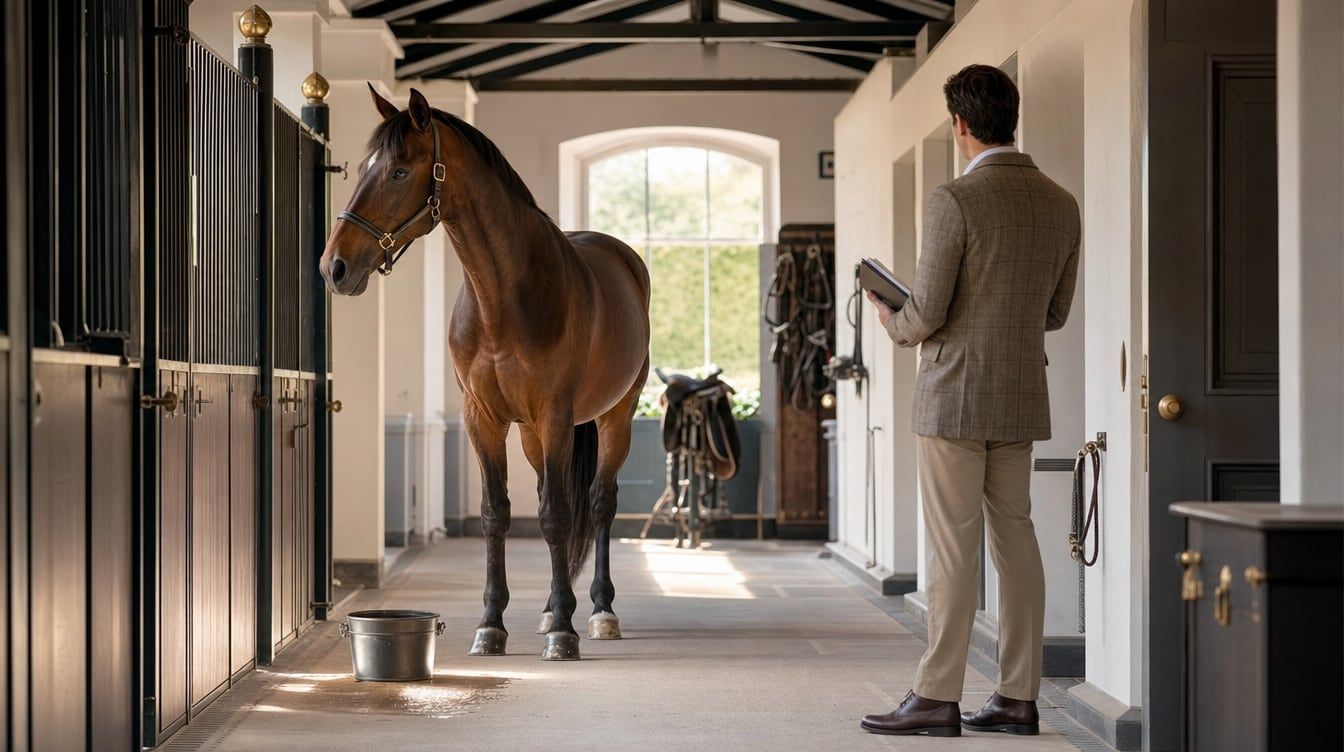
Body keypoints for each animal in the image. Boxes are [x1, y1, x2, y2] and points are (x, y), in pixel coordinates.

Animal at [319, 85, 651, 661]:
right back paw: (550, 609)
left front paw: (565, 634)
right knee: (551, 497)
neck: (504, 299)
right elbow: (498, 513)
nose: (334, 266)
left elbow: (557, 515)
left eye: (399, 171)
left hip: (615, 416)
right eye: (362, 167)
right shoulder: (484, 419)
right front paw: (493, 624)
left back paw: (599, 611)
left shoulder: (555, 415)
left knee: (597, 504)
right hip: (535, 436)